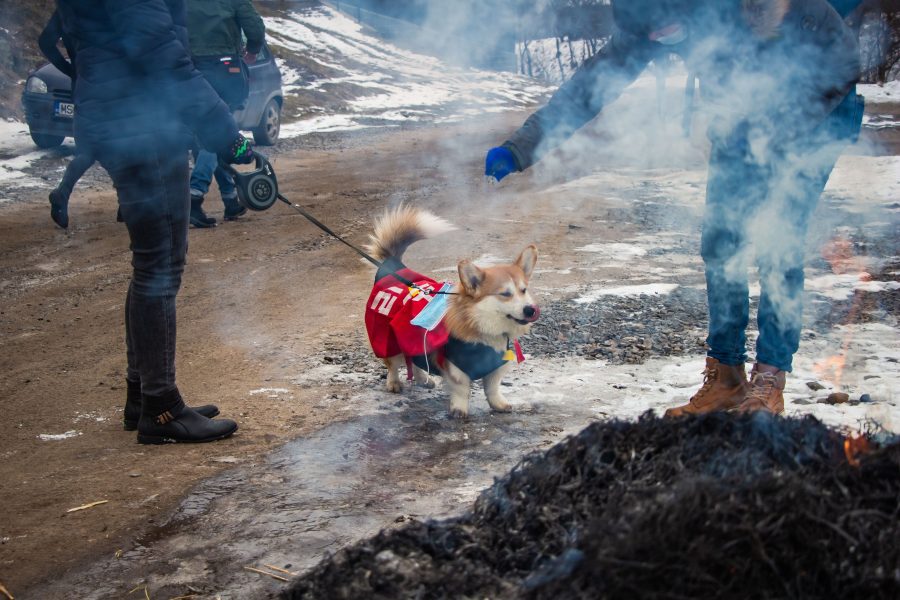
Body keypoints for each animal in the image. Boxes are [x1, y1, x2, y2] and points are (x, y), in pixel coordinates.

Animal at [362, 205, 536, 418]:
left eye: (523, 290)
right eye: (505, 294)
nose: (530, 310)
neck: (483, 326)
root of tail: (393, 266)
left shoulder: (495, 367)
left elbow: (492, 388)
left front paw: (499, 404)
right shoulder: (455, 368)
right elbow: (461, 389)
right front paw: (459, 410)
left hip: (412, 339)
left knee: (414, 359)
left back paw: (423, 379)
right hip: (388, 339)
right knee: (393, 364)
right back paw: (394, 383)